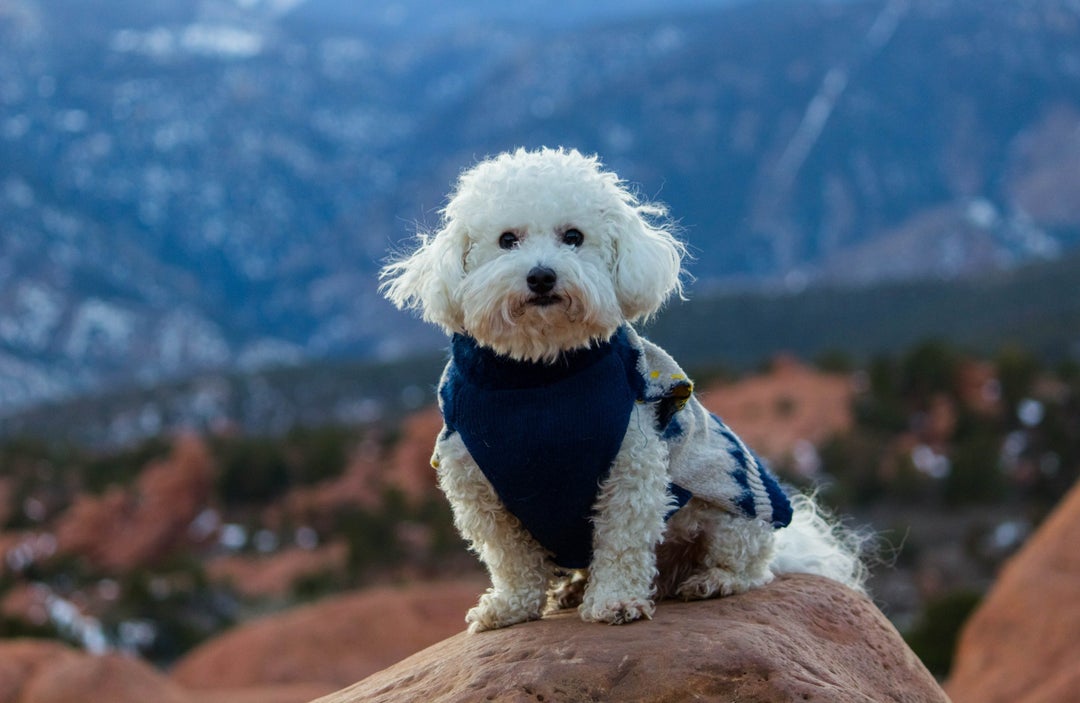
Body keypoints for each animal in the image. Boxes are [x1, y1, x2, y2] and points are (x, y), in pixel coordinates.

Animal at [384, 149, 864, 630]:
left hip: (732, 517)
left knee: (748, 565)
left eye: (573, 236)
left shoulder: (629, 465)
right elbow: (511, 559)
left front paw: (614, 601)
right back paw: (574, 590)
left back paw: (712, 580)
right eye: (507, 240)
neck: (539, 376)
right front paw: (510, 607)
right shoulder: (476, 483)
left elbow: (621, 542)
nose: (541, 276)